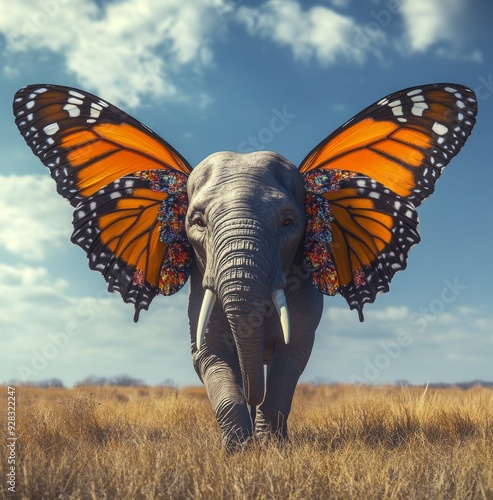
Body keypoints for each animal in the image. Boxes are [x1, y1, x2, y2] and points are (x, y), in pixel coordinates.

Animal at [14, 82, 476, 450]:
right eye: (196, 221)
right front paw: (237, 449)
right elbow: (210, 356)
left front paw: (269, 445)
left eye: (289, 222)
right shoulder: (202, 292)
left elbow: (291, 358)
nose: (254, 416)